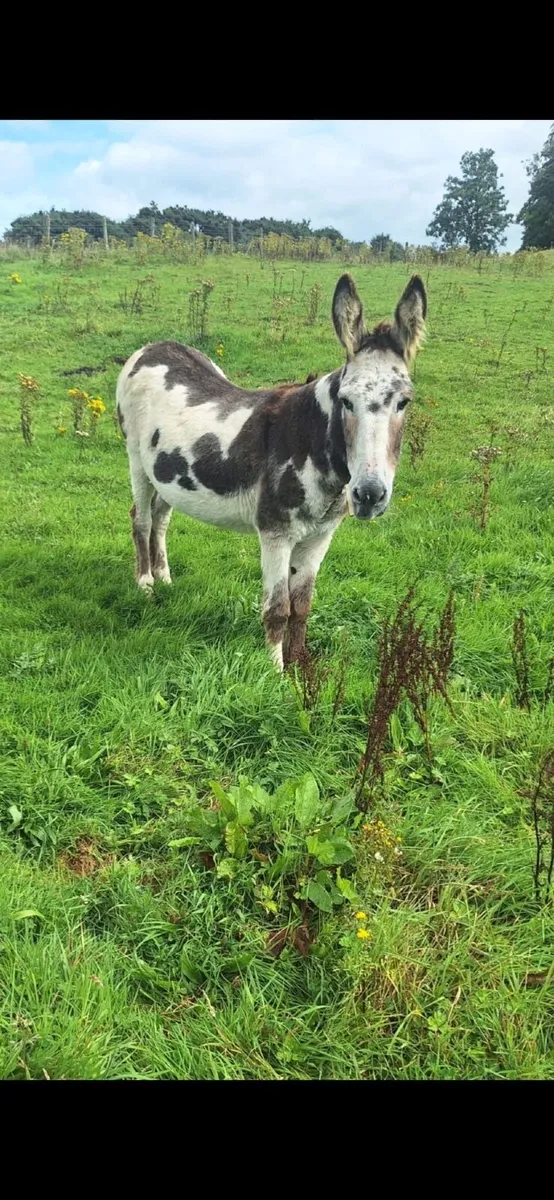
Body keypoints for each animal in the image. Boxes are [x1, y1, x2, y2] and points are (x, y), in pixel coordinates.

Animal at [116, 272, 427, 669]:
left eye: (404, 402)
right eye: (345, 401)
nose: (368, 496)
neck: (312, 444)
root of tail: (152, 347)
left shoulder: (319, 538)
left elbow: (302, 607)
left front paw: (299, 667)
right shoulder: (275, 534)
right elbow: (278, 609)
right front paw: (275, 672)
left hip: (169, 473)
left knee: (160, 518)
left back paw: (164, 576)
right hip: (136, 461)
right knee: (140, 518)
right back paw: (145, 584)